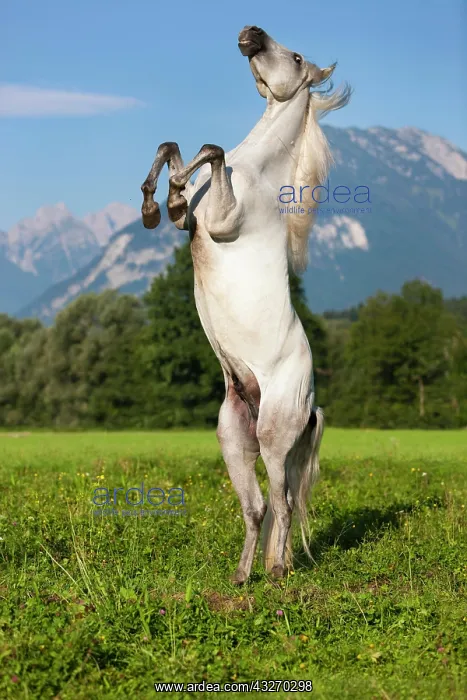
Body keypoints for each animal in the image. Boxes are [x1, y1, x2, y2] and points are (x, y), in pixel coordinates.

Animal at [141, 25, 351, 584]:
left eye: (296, 57)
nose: (251, 33)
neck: (256, 170)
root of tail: (311, 404)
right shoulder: (192, 225)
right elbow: (174, 146)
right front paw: (157, 200)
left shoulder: (220, 223)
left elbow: (211, 149)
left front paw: (170, 191)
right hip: (234, 438)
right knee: (257, 507)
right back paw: (243, 576)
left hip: (275, 438)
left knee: (282, 500)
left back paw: (277, 573)